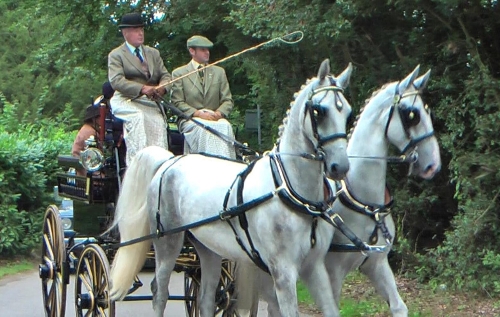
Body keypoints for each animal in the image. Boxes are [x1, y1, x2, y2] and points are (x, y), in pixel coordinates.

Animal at [108, 58, 354, 314]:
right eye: (319, 111)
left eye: (347, 112)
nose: (339, 166)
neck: (290, 190)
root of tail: (170, 160)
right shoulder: (283, 271)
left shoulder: (314, 267)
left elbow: (331, 310)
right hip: (167, 242)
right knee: (159, 292)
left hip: (208, 249)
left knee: (205, 299)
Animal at [258, 65, 442, 316]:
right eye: (411, 115)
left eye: (426, 110)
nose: (433, 164)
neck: (362, 200)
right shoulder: (333, 271)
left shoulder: (377, 264)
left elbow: (398, 306)